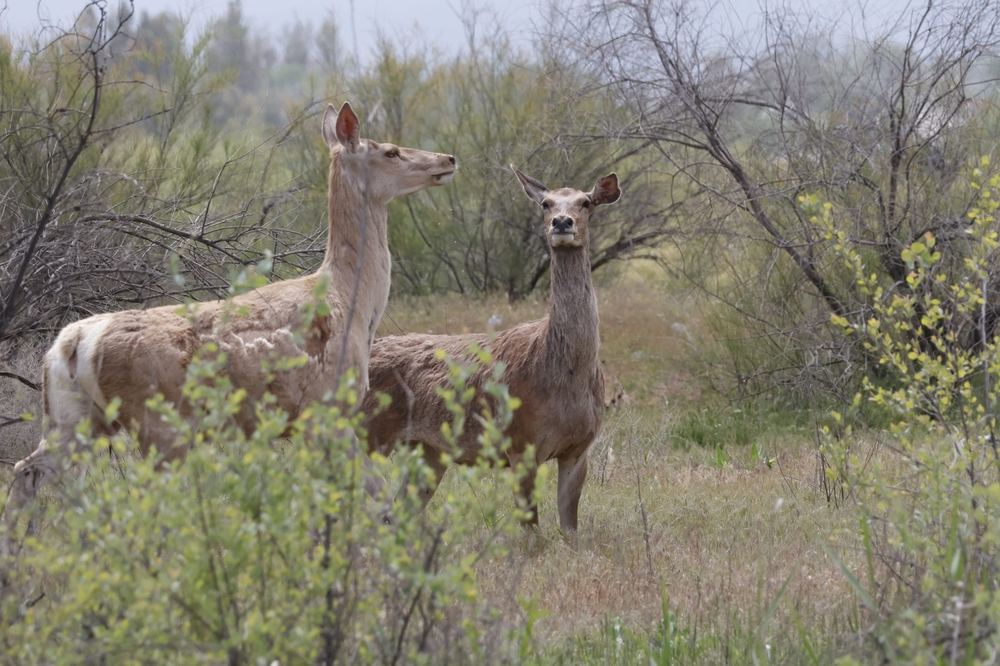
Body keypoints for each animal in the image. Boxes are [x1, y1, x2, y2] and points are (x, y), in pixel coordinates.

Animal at [3, 102, 457, 531]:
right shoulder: (324, 408)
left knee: (28, 470)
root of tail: (71, 343)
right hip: (159, 423)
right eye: (391, 151)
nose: (448, 158)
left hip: (72, 416)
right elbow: (377, 495)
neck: (353, 303)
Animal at [363, 166, 621, 533]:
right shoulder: (519, 442)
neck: (562, 374)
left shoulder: (578, 449)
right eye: (545, 203)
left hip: (428, 450)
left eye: (586, 202)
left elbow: (570, 530)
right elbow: (532, 532)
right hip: (369, 431)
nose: (561, 222)